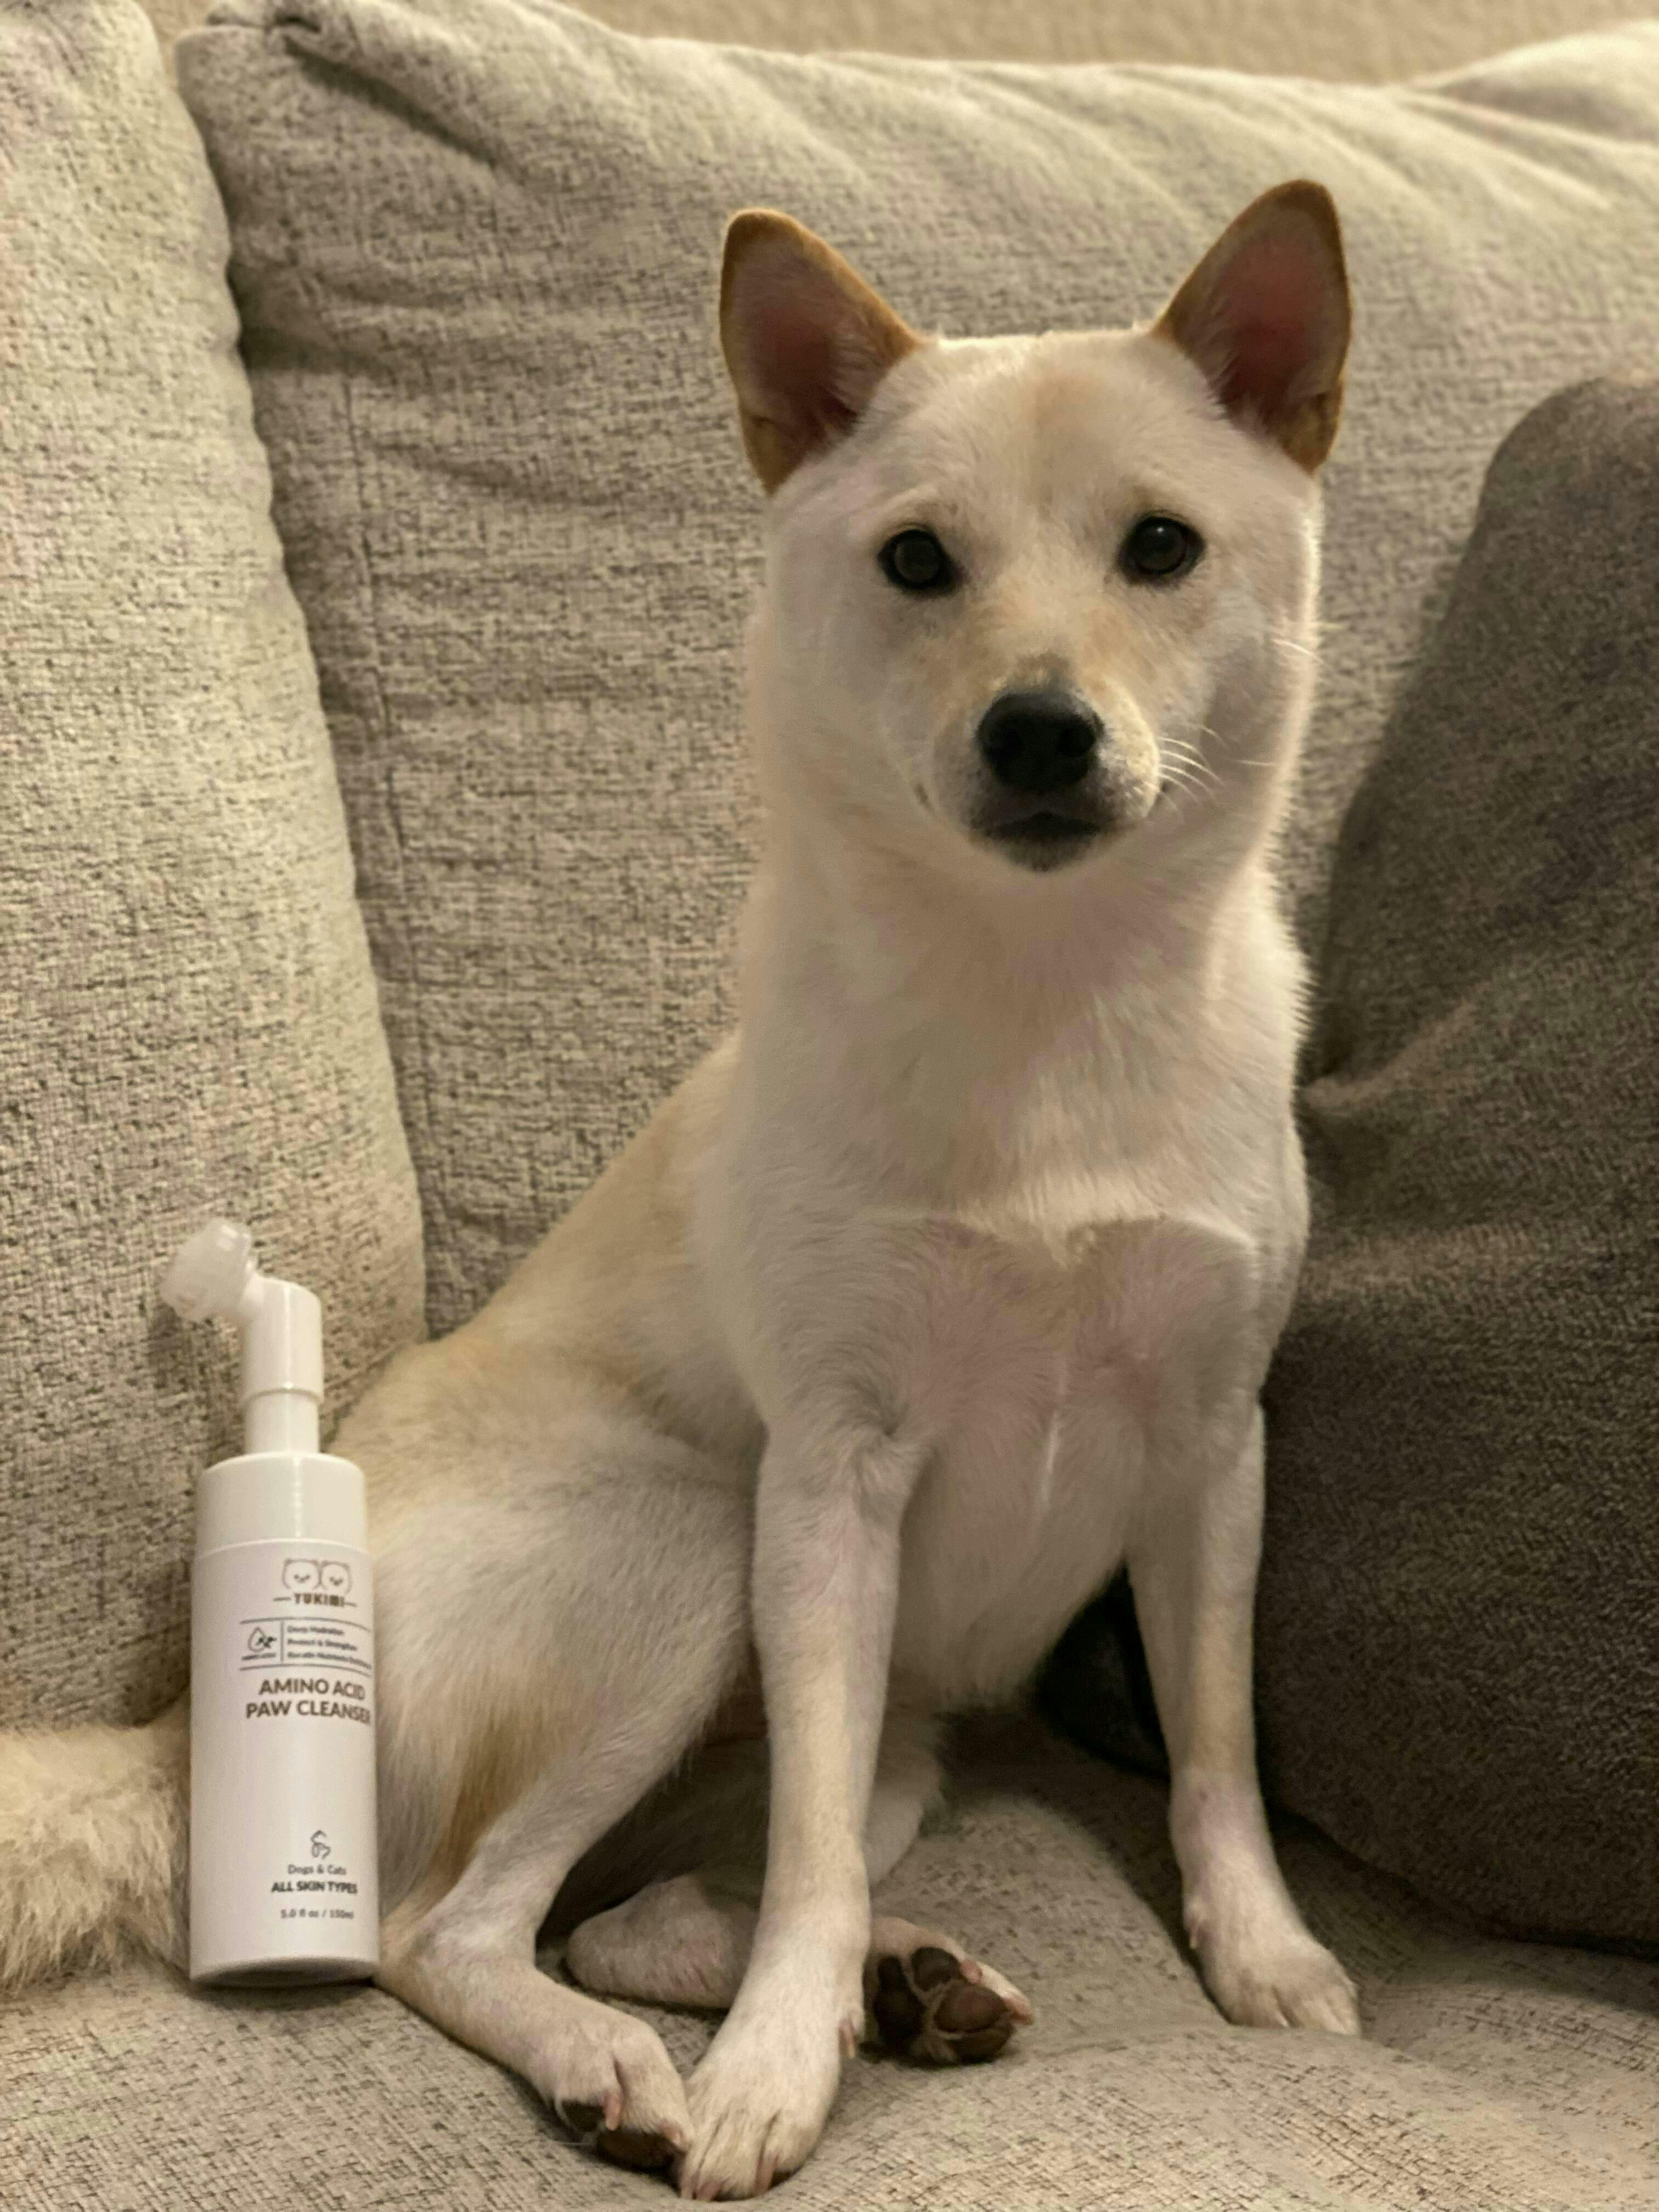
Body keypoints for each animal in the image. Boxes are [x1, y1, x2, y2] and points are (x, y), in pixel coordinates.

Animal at [1, 181, 1358, 2200]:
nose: (1040, 731)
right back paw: (641, 2060)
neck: (1035, 987)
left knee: (648, 1907)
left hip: (874, 1731)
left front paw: (1260, 1947)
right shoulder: (830, 1481)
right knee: (461, 1927)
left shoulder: (1210, 1451)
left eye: (1164, 547)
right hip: (687, 1557)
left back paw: (898, 1987)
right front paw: (776, 2072)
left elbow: (1213, 1746)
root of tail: (176, 1733)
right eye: (918, 562)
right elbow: (797, 1865)